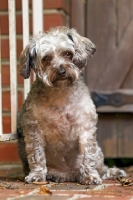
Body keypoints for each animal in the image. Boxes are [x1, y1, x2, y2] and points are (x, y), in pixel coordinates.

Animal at [17, 26, 126, 184]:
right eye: (46, 58)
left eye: (68, 54)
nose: (61, 71)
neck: (61, 93)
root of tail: (69, 174)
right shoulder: (33, 130)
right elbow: (37, 156)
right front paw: (36, 175)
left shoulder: (86, 129)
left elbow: (88, 156)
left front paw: (90, 176)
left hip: (98, 152)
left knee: (101, 167)